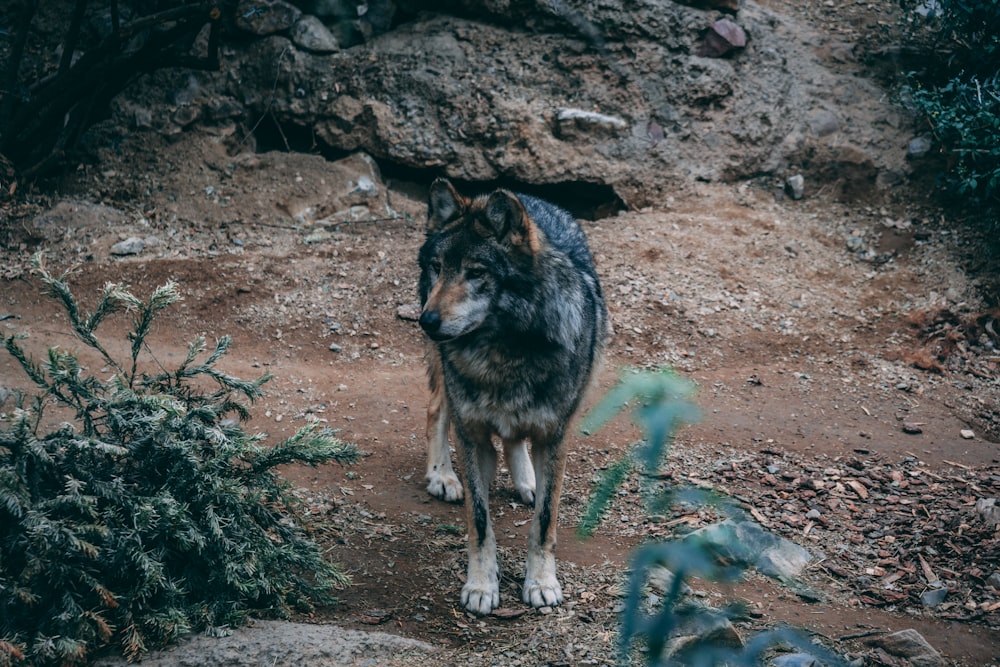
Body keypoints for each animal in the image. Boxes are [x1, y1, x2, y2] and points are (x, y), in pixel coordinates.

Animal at [416, 179, 608, 616]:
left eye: (476, 273)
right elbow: (479, 521)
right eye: (438, 267)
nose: (427, 320)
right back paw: (442, 476)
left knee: (515, 438)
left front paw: (541, 583)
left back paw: (527, 482)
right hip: (444, 373)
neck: (503, 353)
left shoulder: (555, 436)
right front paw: (481, 586)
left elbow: (544, 522)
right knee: (436, 409)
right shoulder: (472, 435)